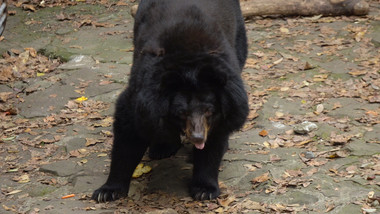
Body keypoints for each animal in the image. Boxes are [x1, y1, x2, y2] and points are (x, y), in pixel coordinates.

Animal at [92, 0, 249, 202]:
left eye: (208, 110)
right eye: (181, 112)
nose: (198, 137)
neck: (189, 59)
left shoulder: (228, 99)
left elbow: (216, 138)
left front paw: (204, 189)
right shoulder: (142, 91)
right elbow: (129, 131)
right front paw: (107, 191)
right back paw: (162, 148)